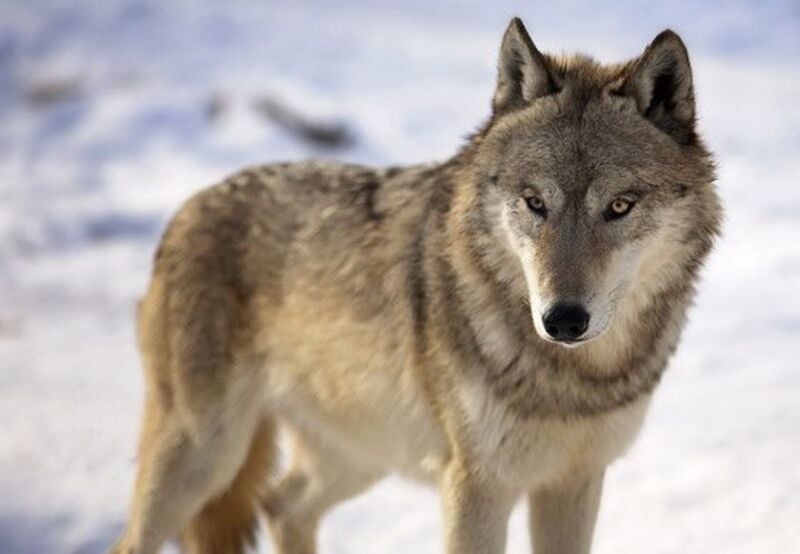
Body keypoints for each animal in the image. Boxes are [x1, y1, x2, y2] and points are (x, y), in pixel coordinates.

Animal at [112, 17, 721, 554]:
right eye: (534, 202)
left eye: (619, 206)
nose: (563, 320)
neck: (574, 381)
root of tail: (188, 206)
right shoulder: (476, 487)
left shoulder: (574, 481)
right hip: (205, 456)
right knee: (139, 538)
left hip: (358, 454)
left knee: (281, 505)